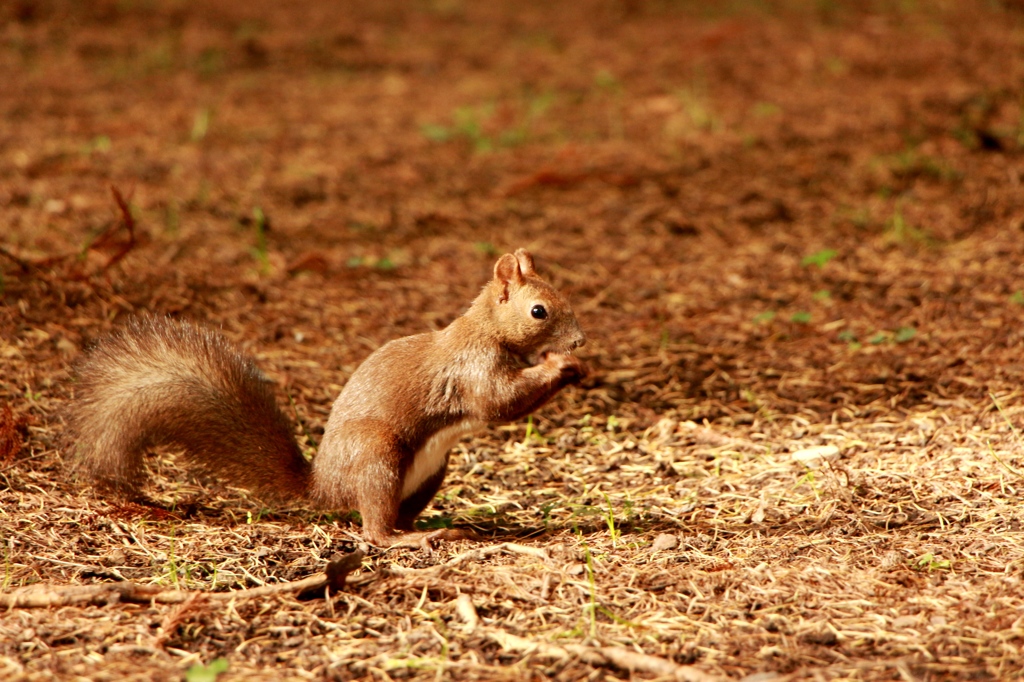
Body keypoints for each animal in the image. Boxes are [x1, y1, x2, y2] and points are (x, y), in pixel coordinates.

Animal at [68, 249, 589, 548]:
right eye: (539, 311)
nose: (581, 341)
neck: (486, 330)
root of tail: (323, 487)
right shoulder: (471, 368)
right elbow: (498, 402)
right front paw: (558, 365)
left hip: (429, 472)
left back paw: (420, 529)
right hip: (378, 454)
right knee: (373, 530)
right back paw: (405, 540)